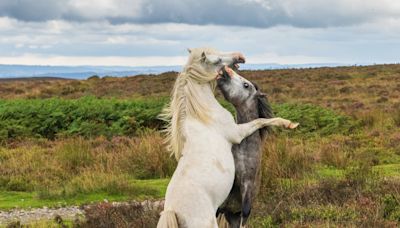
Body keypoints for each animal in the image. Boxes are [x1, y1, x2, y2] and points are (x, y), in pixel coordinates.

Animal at [158, 47, 298, 227]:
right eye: (217, 60)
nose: (240, 56)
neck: (203, 116)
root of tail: (173, 211)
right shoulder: (237, 133)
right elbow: (260, 121)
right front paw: (289, 124)